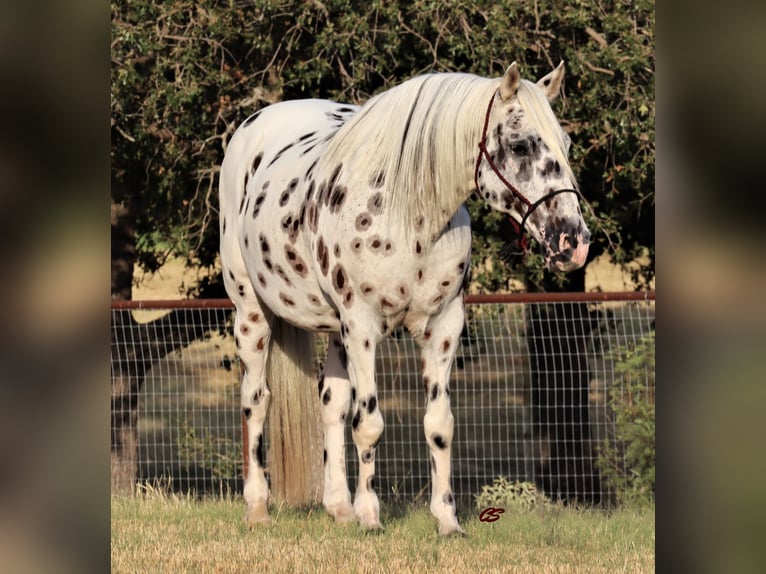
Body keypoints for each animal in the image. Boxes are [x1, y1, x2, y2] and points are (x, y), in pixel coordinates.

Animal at [219, 60, 592, 536]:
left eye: (567, 143)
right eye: (521, 144)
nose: (573, 241)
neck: (407, 215)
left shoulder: (443, 327)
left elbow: (438, 424)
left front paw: (447, 520)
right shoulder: (362, 328)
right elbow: (370, 425)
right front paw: (371, 517)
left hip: (335, 330)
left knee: (332, 404)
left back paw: (338, 507)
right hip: (252, 313)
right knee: (256, 401)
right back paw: (258, 507)